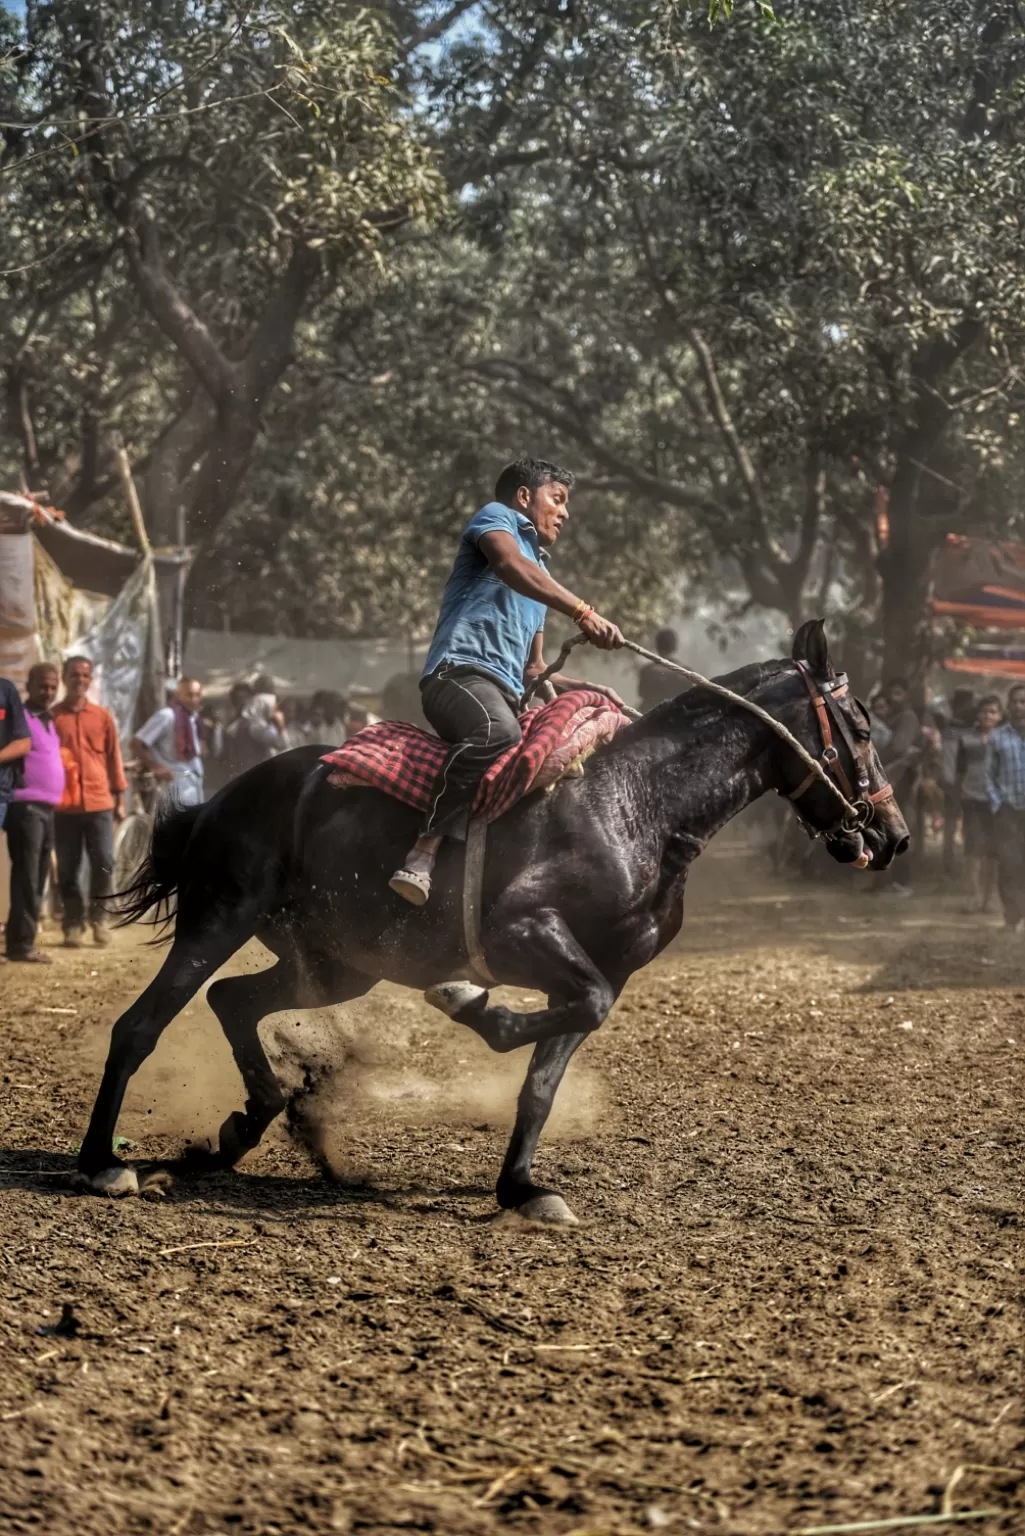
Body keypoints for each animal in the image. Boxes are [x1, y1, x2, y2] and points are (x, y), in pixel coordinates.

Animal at [76, 617, 909, 1216]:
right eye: (862, 728)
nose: (893, 836)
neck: (636, 805)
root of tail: (222, 796)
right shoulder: (523, 934)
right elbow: (538, 1016)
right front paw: (467, 1000)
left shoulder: (603, 971)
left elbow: (547, 1072)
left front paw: (522, 1188)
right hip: (219, 915)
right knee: (142, 1024)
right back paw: (102, 1164)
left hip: (336, 963)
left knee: (231, 999)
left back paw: (246, 1123)